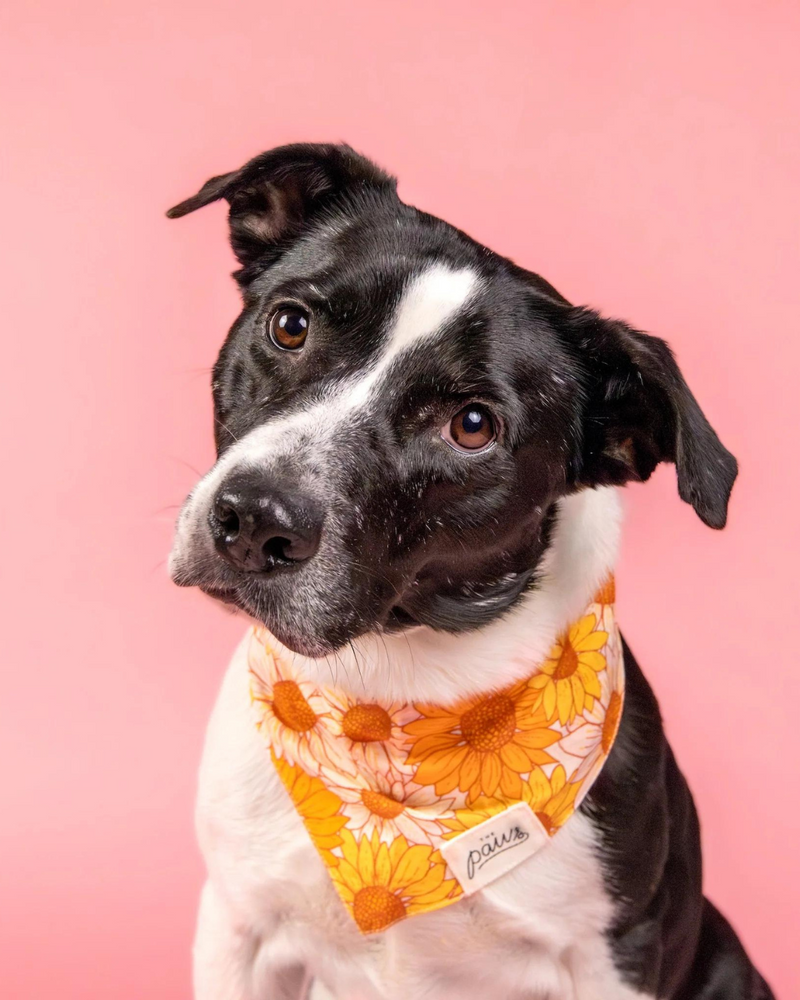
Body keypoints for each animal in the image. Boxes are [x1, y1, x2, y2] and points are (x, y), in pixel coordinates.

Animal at [169, 143, 776, 1000]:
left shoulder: (613, 958)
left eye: (473, 426)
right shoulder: (239, 927)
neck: (391, 696)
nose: (255, 518)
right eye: (290, 324)